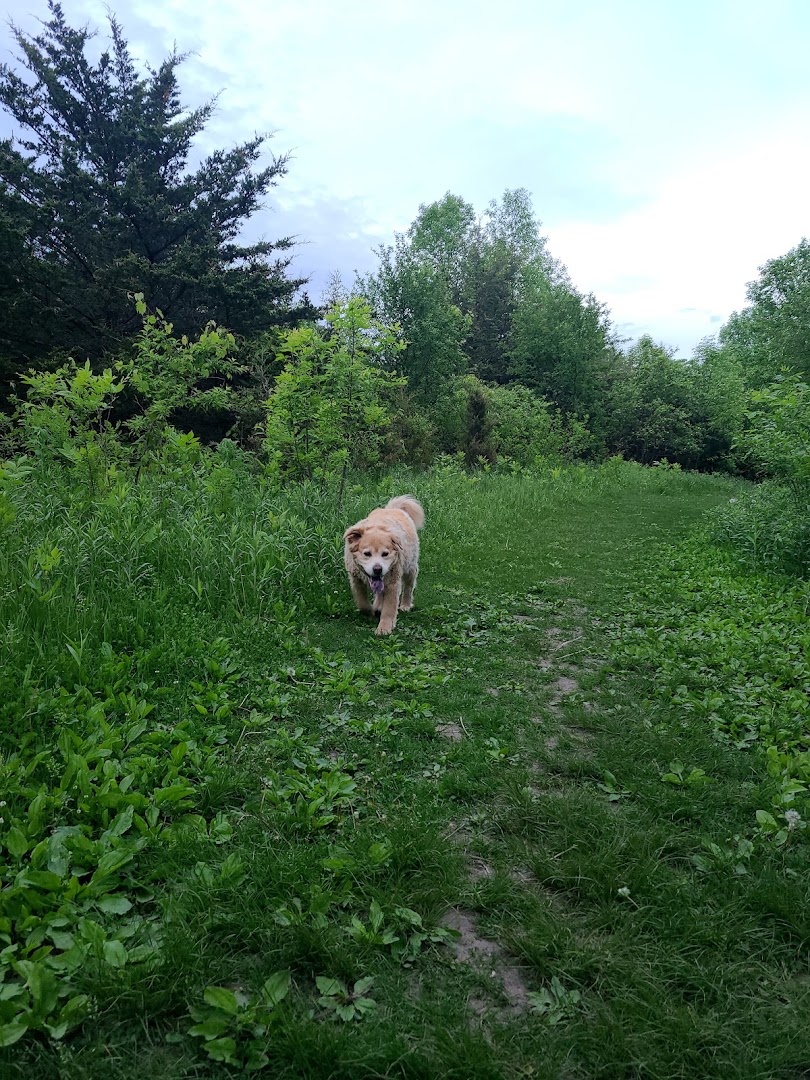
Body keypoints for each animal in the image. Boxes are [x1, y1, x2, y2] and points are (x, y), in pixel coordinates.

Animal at [345, 494, 427, 635]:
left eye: (385, 554)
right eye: (367, 553)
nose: (378, 569)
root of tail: (393, 508)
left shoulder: (393, 583)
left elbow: (389, 608)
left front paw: (384, 628)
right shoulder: (356, 580)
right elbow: (362, 602)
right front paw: (370, 610)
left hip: (410, 567)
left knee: (409, 587)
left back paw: (405, 605)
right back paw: (378, 606)